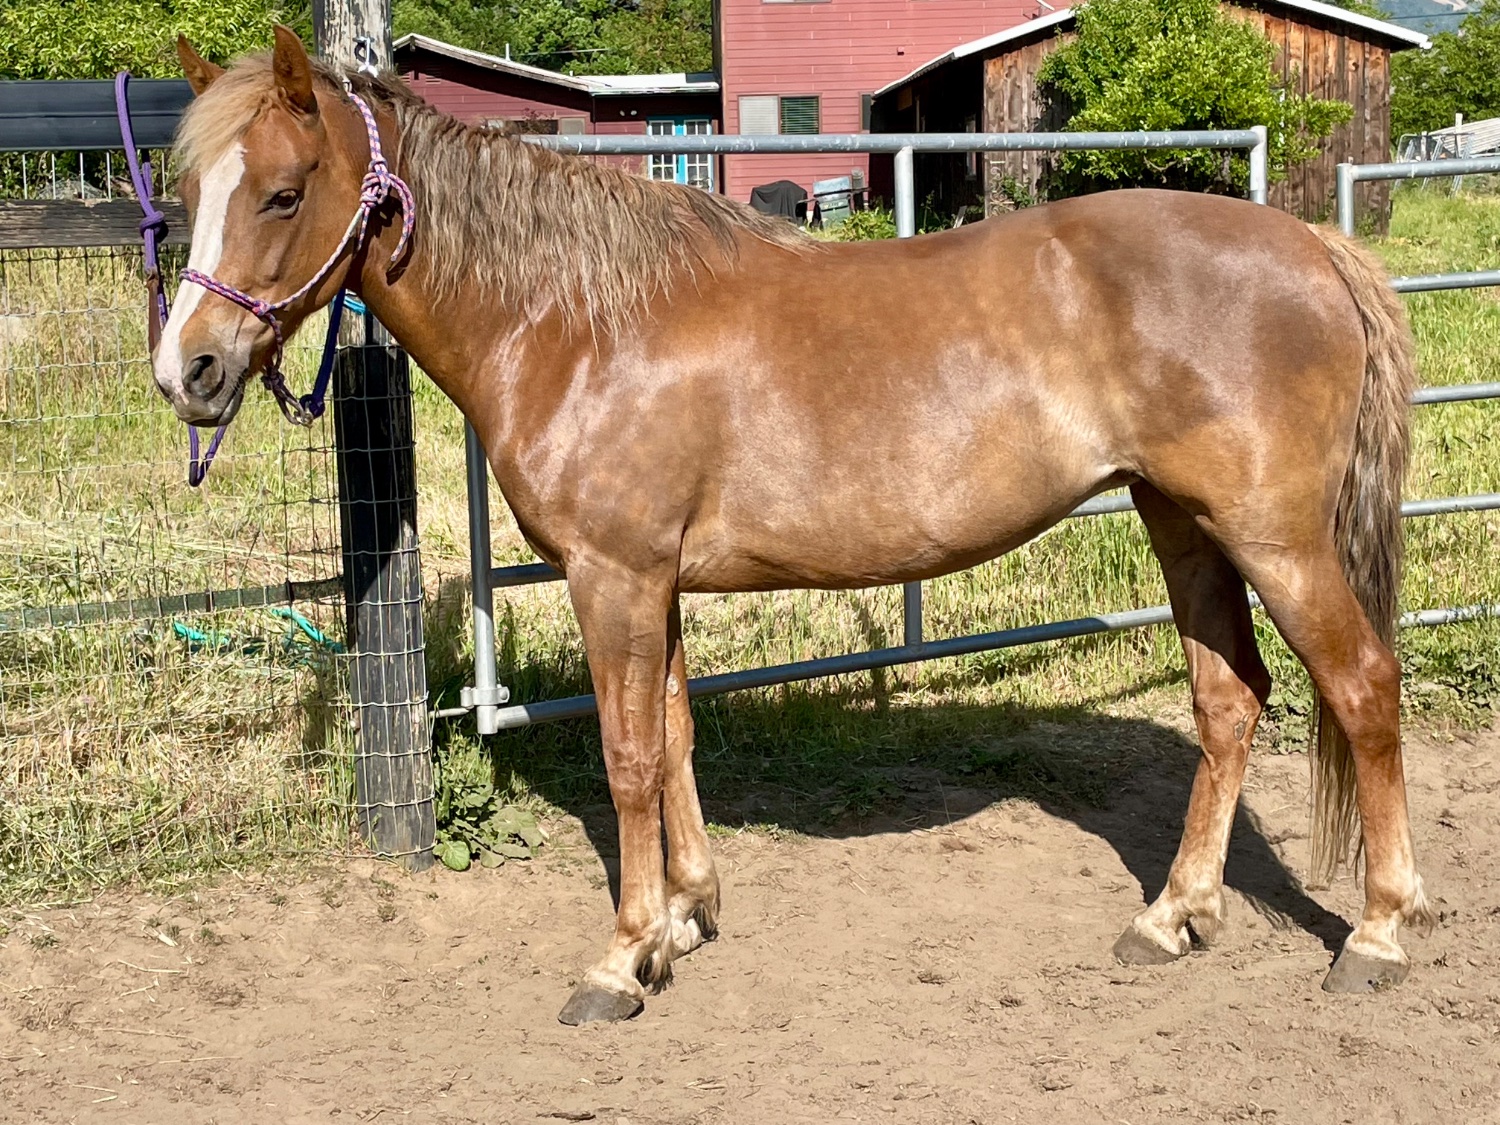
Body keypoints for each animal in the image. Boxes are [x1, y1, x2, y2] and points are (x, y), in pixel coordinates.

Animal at [157, 28, 1432, 1024]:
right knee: (1230, 702)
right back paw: (1173, 917)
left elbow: (626, 758)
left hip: (1275, 538)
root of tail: (1314, 246)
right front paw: (684, 919)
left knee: (1364, 688)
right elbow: (673, 737)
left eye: (282, 192)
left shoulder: (614, 576)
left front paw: (620, 959)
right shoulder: (654, 582)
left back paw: (1377, 933)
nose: (189, 374)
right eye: (185, 196)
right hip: (1186, 525)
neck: (576, 322)